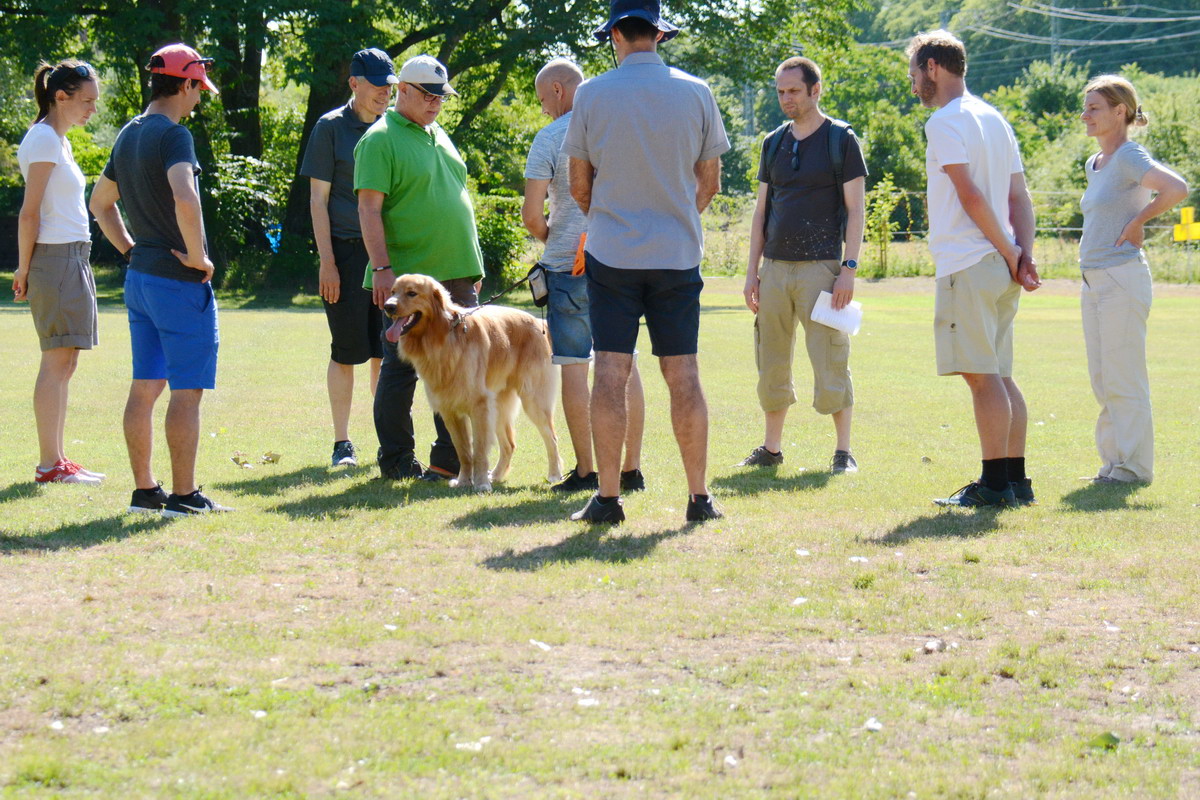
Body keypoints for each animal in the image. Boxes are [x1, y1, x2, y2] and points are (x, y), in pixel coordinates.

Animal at [384, 273, 561, 494]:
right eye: (392, 292)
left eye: (411, 293)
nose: (387, 306)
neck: (442, 337)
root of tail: (538, 321)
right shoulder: (450, 411)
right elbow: (463, 451)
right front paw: (464, 481)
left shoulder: (479, 407)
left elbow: (479, 450)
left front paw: (481, 483)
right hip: (499, 407)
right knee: (509, 444)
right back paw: (497, 474)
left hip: (533, 400)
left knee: (552, 437)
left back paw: (554, 475)